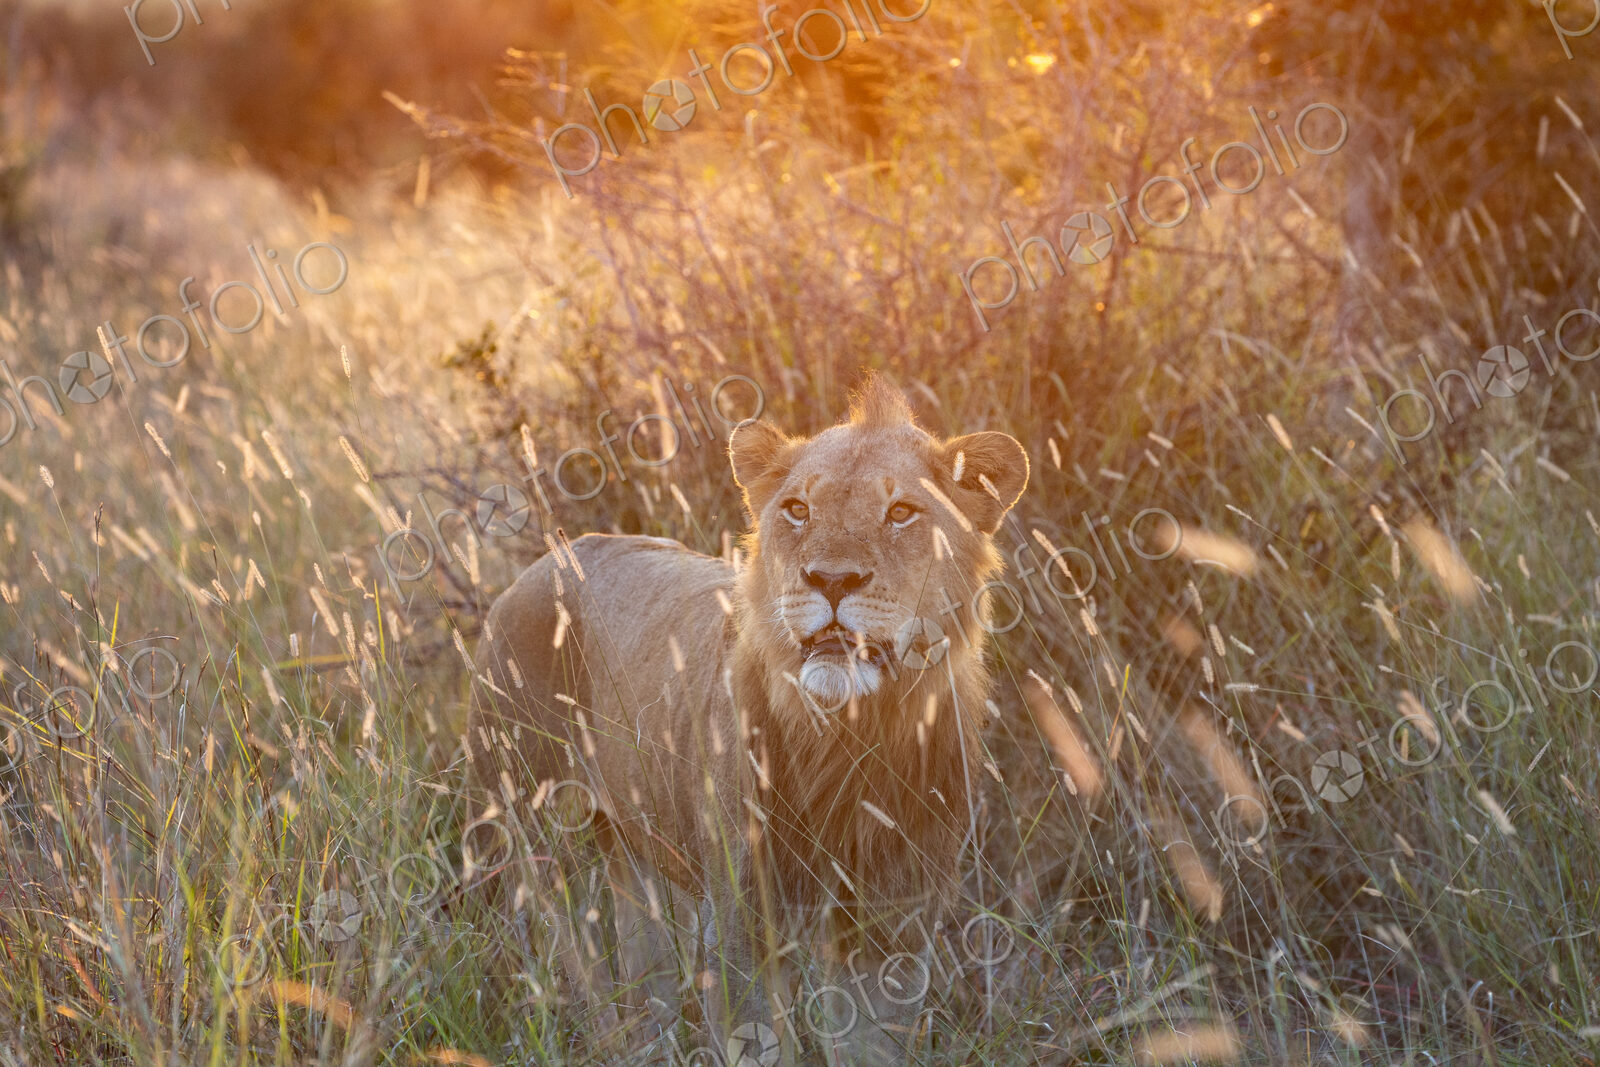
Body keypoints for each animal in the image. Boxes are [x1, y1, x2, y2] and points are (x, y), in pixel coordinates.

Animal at [466, 380, 1028, 1064]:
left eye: (901, 513)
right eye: (796, 509)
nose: (831, 579)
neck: (851, 737)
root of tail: (548, 559)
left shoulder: (891, 932)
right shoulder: (742, 923)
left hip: (636, 855)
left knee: (644, 984)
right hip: (536, 839)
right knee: (569, 969)